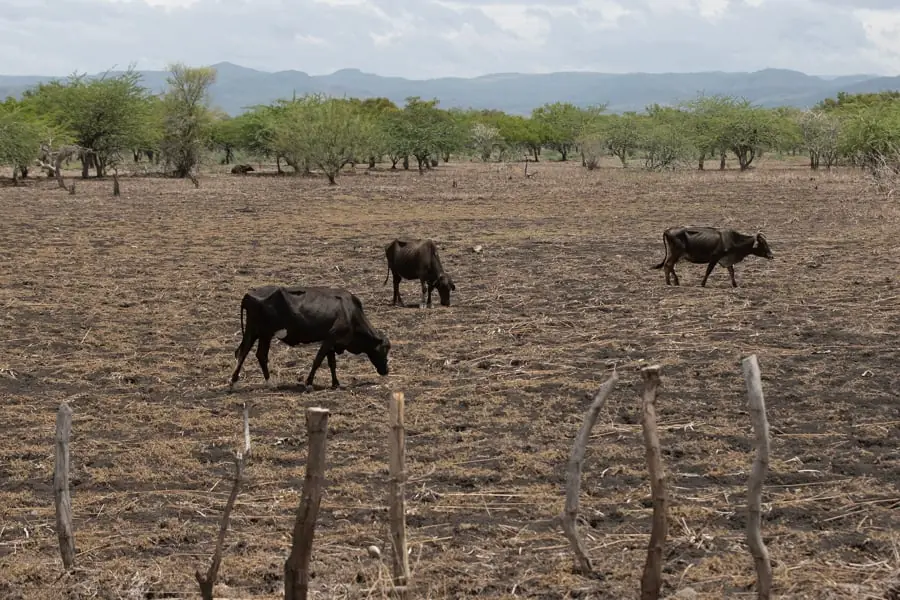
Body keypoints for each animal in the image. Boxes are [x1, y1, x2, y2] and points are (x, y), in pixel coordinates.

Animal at [229, 285, 391, 390]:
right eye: (384, 350)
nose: (386, 370)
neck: (350, 312)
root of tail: (249, 294)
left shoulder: (331, 342)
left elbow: (332, 363)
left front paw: (336, 383)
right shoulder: (330, 338)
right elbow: (318, 360)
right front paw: (308, 383)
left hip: (256, 333)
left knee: (248, 352)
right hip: (264, 334)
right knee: (252, 354)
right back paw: (264, 383)